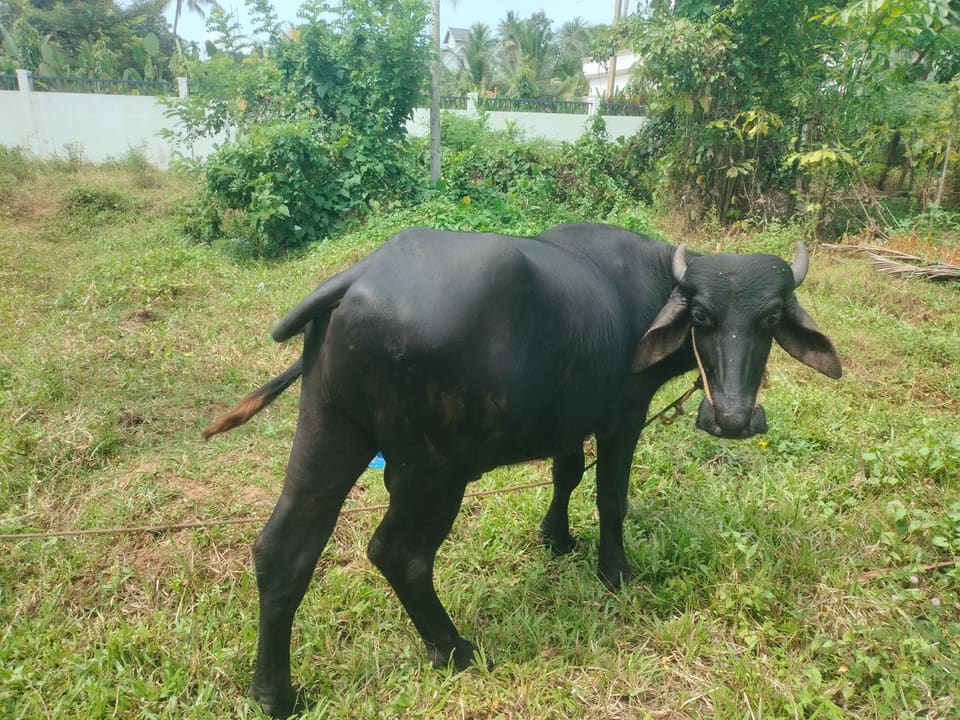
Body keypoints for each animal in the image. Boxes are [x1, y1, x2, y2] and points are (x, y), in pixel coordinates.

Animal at [203, 223, 842, 717]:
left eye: (770, 319)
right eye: (703, 317)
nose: (732, 418)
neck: (646, 289)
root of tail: (358, 277)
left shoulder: (568, 420)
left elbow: (567, 475)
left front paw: (555, 537)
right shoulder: (622, 417)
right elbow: (610, 497)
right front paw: (616, 571)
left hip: (328, 429)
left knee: (284, 549)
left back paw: (275, 694)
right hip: (430, 470)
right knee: (398, 553)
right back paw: (455, 649)